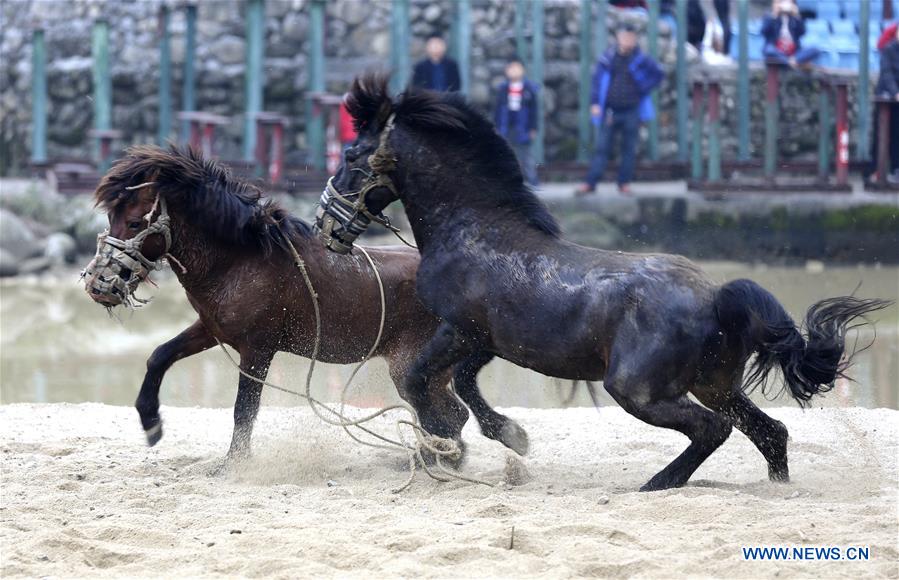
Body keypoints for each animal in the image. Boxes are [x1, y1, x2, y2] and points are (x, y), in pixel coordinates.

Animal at [82, 145, 530, 468]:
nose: (99, 284)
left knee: (449, 413)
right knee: (450, 413)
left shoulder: (257, 348)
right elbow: (159, 356)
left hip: (411, 364)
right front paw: (150, 423)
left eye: (135, 222)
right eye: (111, 217)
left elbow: (244, 409)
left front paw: (234, 465)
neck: (242, 258)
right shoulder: (212, 329)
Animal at [315, 73, 892, 491]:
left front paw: (444, 446)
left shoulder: (459, 329)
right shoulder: (487, 340)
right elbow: (462, 384)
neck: (472, 228)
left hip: (638, 389)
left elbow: (420, 381)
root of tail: (717, 297)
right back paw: (773, 486)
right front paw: (508, 437)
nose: (325, 223)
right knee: (770, 432)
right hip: (715, 383)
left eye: (351, 155)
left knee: (715, 429)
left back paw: (658, 484)